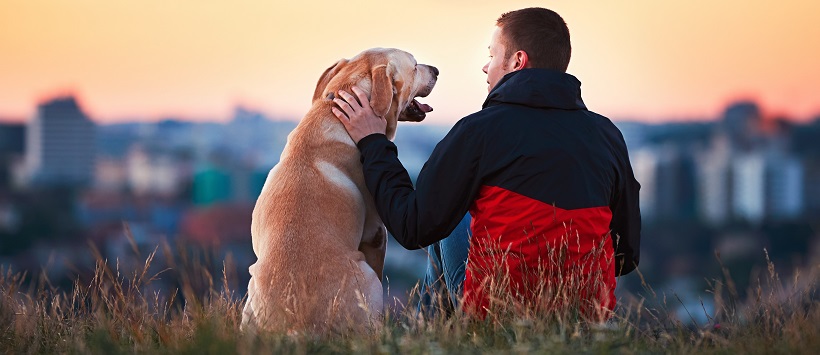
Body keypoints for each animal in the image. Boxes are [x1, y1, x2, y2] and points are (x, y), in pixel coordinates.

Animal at [240, 46, 438, 334]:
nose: (436, 70)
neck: (333, 114)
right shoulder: (376, 233)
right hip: (367, 278)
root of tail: (295, 326)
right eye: (414, 66)